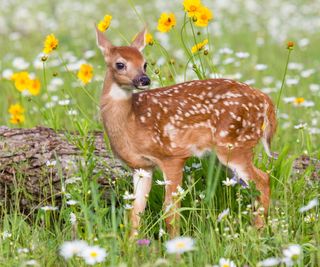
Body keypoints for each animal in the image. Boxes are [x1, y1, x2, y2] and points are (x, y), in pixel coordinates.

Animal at [94, 26, 276, 238]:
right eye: (120, 64)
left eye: (144, 63)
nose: (144, 79)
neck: (132, 122)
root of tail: (265, 100)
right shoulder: (141, 167)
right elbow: (135, 212)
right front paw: (131, 244)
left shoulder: (172, 156)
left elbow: (170, 210)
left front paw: (174, 244)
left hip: (235, 144)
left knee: (263, 180)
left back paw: (258, 232)